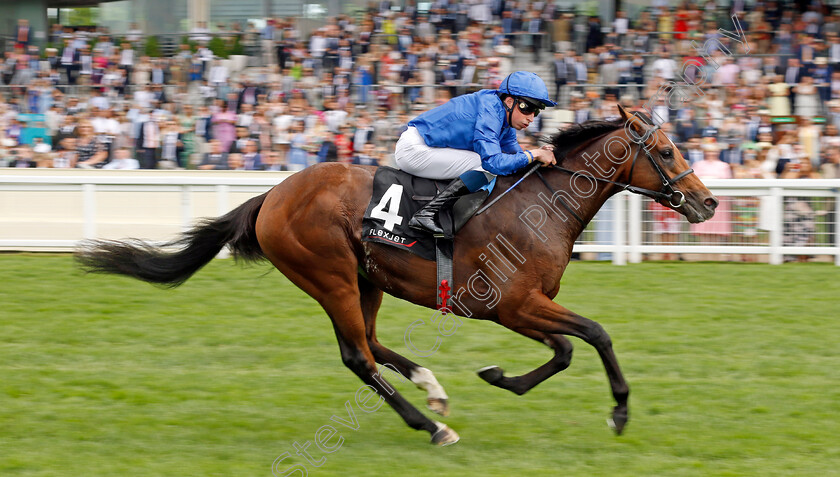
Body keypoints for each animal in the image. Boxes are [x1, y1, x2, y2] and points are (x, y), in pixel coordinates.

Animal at [75, 105, 716, 446]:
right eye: (665, 150)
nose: (706, 203)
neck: (542, 205)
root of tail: (272, 195)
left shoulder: (520, 307)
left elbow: (565, 349)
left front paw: (497, 376)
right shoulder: (511, 304)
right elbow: (593, 335)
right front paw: (620, 411)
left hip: (368, 279)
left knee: (371, 341)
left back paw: (432, 388)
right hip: (328, 273)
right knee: (357, 355)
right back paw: (429, 426)